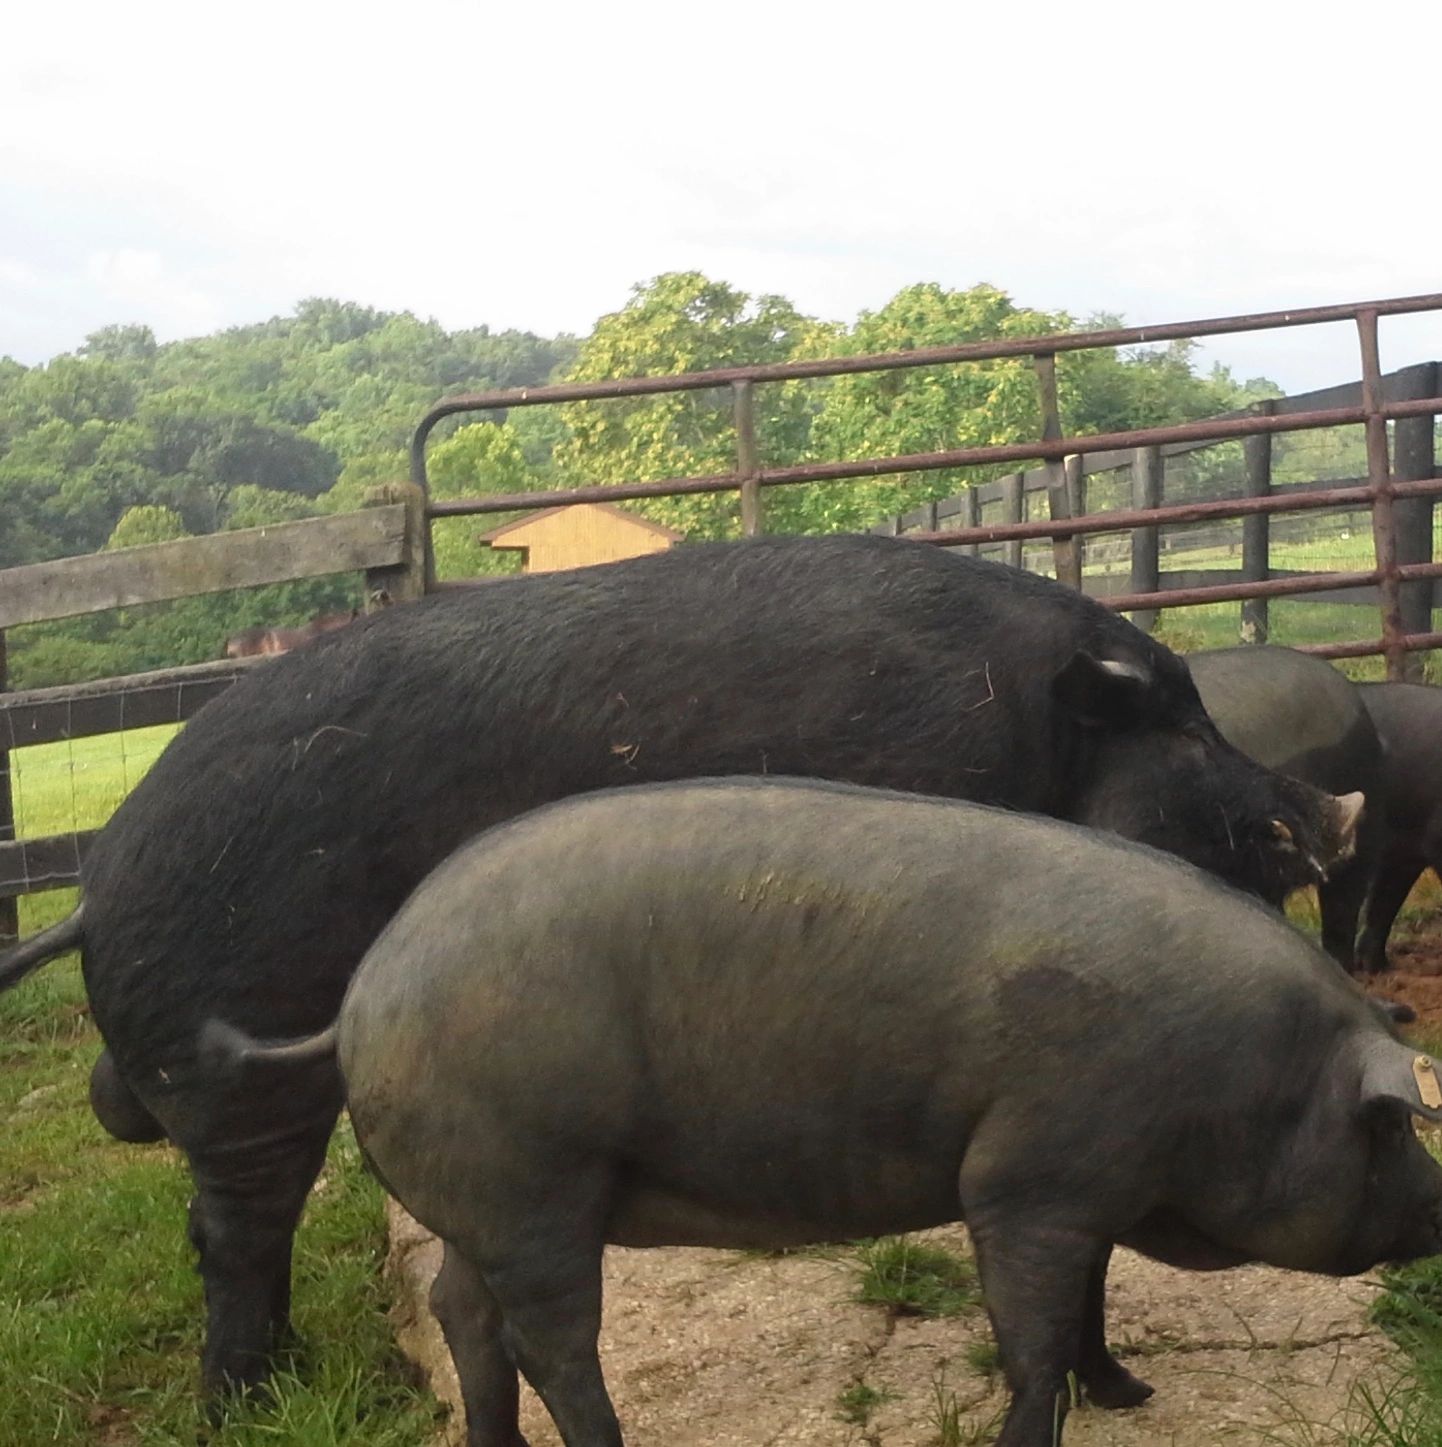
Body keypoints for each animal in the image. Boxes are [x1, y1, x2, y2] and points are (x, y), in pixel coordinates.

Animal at [0, 533, 1364, 1399]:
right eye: (1182, 724)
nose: (1329, 807)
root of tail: (98, 885)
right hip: (236, 1053)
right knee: (230, 1230)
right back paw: (251, 1396)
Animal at [205, 777, 1442, 1447]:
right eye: (1392, 1124)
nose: (1436, 1211)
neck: (1236, 1078)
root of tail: (360, 992)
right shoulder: (1026, 1179)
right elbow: (1032, 1333)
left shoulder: (1089, 1181)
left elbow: (1087, 1305)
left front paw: (1129, 1391)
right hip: (535, 1185)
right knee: (550, 1340)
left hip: (485, 1198)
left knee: (461, 1312)